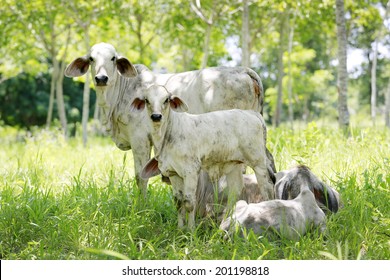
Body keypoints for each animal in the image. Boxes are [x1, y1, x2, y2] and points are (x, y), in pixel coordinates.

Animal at [64, 42, 272, 198]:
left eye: (113, 58)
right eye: (91, 59)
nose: (101, 78)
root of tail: (245, 71)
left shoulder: (140, 140)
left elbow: (140, 177)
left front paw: (140, 207)